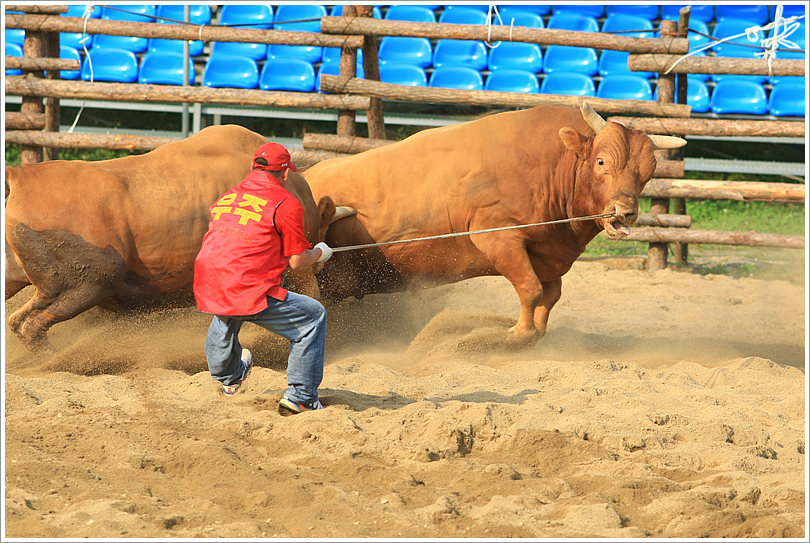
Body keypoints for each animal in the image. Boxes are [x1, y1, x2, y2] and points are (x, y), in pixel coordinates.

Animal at [5, 125, 334, 350]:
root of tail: (19, 176)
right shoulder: (297, 263)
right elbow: (312, 296)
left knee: (20, 319)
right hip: (88, 281)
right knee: (31, 321)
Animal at [302, 102, 680, 340]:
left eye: (648, 173)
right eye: (601, 161)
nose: (624, 211)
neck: (549, 167)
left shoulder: (547, 252)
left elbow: (549, 294)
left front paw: (534, 331)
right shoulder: (497, 238)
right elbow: (530, 289)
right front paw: (520, 333)